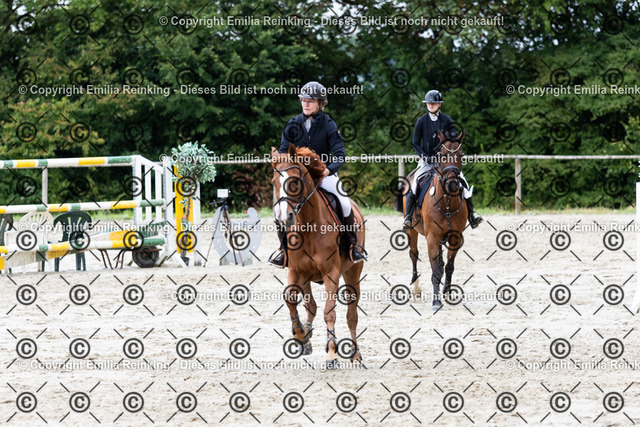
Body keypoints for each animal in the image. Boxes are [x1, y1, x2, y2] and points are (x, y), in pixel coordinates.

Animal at [271, 143, 366, 368]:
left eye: (294, 181)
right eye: (273, 182)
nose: (284, 219)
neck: (308, 227)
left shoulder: (331, 273)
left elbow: (329, 312)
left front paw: (331, 353)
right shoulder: (296, 271)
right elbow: (290, 299)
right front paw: (300, 334)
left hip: (352, 274)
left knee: (351, 315)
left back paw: (355, 354)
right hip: (306, 277)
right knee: (311, 306)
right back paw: (306, 338)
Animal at [399, 130, 468, 310]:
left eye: (461, 155)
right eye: (442, 155)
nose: (452, 184)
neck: (447, 203)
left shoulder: (455, 237)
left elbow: (449, 267)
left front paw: (448, 294)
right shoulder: (432, 237)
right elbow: (436, 270)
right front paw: (436, 301)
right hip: (412, 230)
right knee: (414, 254)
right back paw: (416, 289)